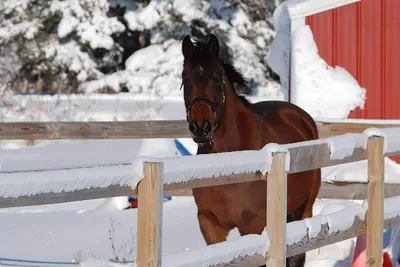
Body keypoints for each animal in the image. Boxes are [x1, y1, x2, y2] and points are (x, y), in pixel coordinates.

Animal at [181, 34, 322, 267]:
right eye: (185, 79)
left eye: (217, 78)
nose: (201, 127)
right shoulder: (210, 223)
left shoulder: (252, 225)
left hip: (303, 209)